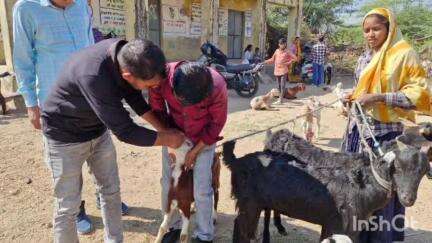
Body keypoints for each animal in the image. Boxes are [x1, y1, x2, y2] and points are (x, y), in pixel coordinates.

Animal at [224, 130, 430, 242]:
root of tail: (237, 161)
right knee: (242, 228)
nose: (408, 199)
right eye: (398, 167)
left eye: (422, 171)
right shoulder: (342, 226)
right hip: (249, 203)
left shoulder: (333, 225)